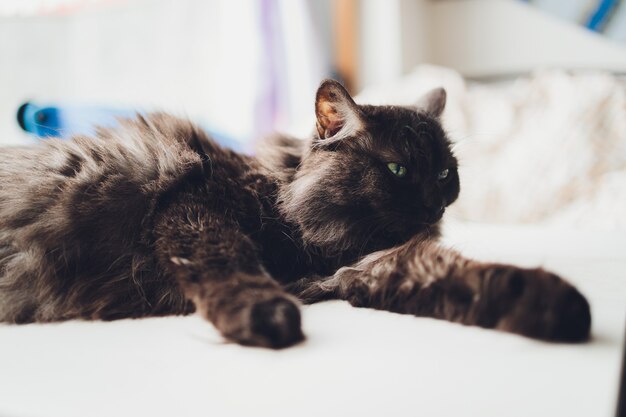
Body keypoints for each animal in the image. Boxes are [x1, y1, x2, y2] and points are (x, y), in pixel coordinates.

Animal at [0, 79, 588, 346]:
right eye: (398, 170)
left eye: (445, 172)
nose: (434, 204)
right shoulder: (196, 209)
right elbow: (230, 263)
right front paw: (267, 317)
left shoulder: (371, 267)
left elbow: (468, 279)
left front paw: (561, 307)